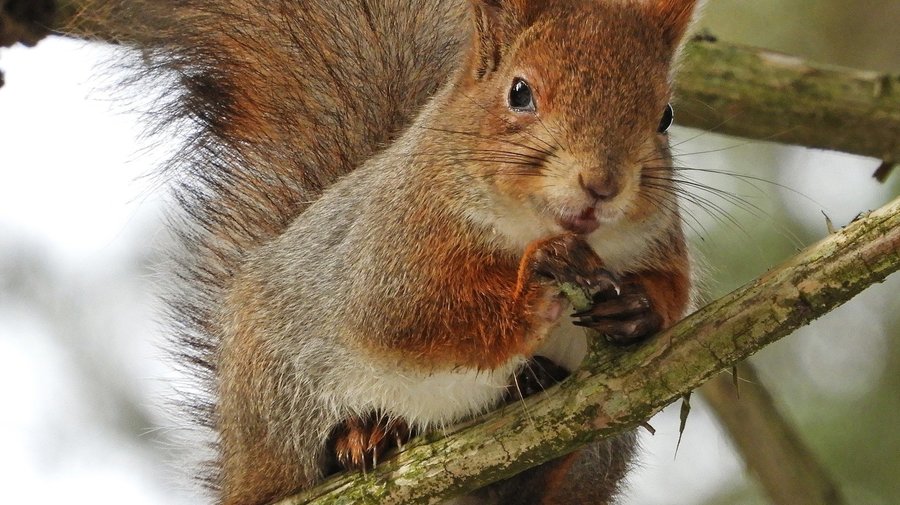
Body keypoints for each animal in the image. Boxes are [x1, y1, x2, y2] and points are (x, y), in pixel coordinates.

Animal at [60, 0, 698, 503]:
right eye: (520, 93)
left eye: (666, 115)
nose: (602, 185)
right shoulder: (388, 253)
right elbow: (410, 323)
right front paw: (533, 287)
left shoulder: (658, 244)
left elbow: (674, 292)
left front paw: (638, 307)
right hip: (279, 405)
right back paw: (364, 437)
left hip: (597, 453)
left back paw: (532, 394)